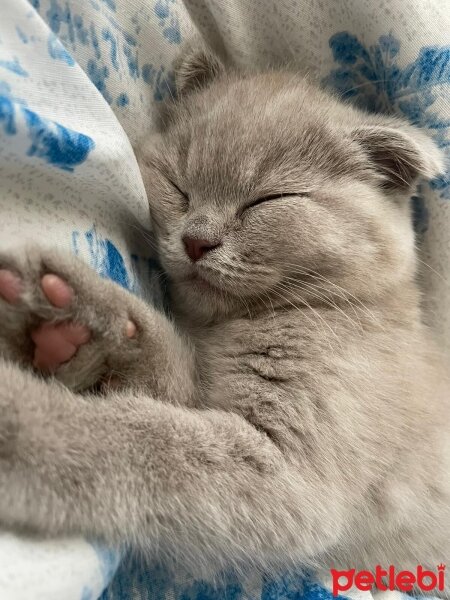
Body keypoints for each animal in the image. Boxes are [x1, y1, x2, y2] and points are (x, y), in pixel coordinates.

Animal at [0, 45, 450, 592]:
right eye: (180, 185)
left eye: (268, 200)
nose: (197, 240)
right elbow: (165, 381)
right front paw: (80, 321)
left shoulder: (287, 475)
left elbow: (146, 439)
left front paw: (18, 414)